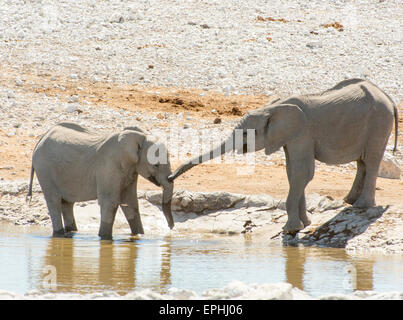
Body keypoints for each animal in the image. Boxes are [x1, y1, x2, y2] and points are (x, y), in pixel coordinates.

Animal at [26, 122, 175, 240]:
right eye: (156, 165)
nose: (171, 228)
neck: (140, 136)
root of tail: (41, 138)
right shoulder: (109, 166)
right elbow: (110, 202)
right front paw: (105, 238)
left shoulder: (131, 169)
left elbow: (130, 203)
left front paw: (139, 235)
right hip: (44, 169)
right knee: (54, 201)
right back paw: (59, 234)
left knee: (66, 203)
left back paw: (72, 232)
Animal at [169, 79, 400, 235]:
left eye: (246, 134)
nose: (170, 178)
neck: (272, 108)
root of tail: (388, 97)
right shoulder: (290, 137)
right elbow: (293, 173)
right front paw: (305, 224)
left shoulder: (303, 133)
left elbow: (302, 173)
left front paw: (289, 230)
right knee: (362, 162)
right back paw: (349, 201)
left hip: (379, 122)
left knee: (371, 160)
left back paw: (361, 206)